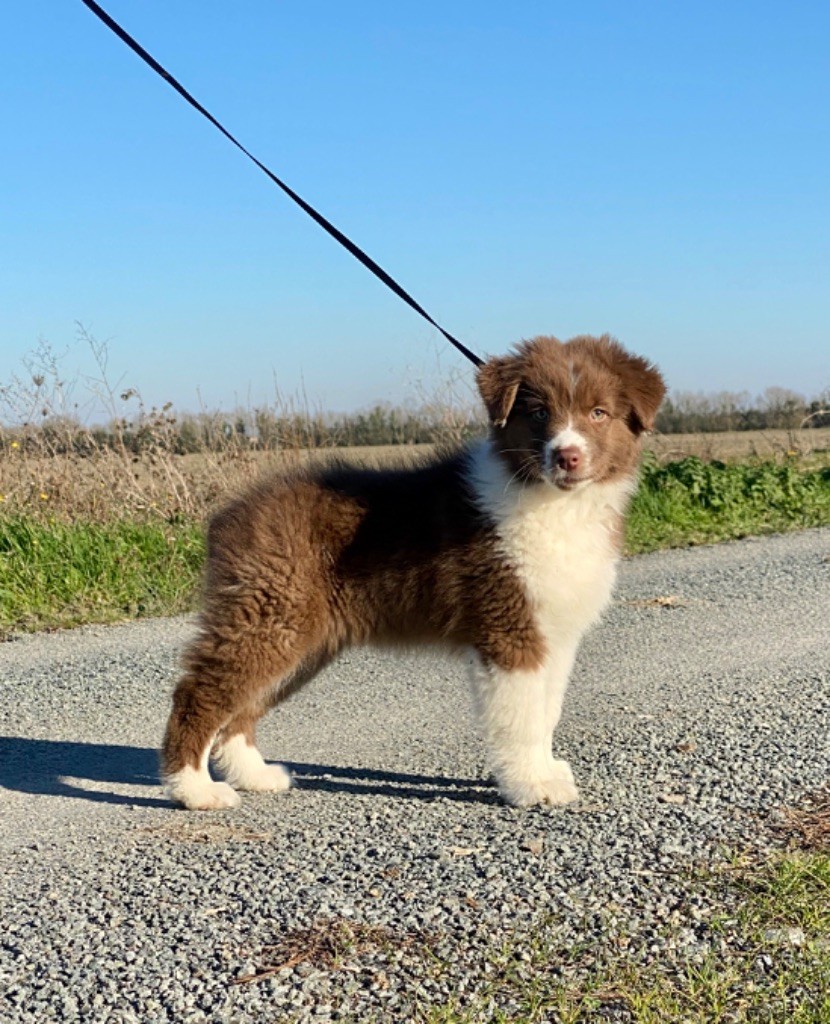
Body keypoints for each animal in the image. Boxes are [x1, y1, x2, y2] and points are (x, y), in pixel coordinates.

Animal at [162, 333, 667, 806]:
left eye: (599, 413)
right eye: (539, 413)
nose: (568, 457)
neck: (553, 502)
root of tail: (228, 515)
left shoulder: (554, 634)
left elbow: (546, 711)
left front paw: (545, 772)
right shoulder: (508, 627)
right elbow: (521, 716)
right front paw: (531, 785)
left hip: (302, 639)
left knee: (243, 707)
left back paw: (254, 775)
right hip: (269, 615)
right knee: (200, 692)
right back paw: (194, 789)